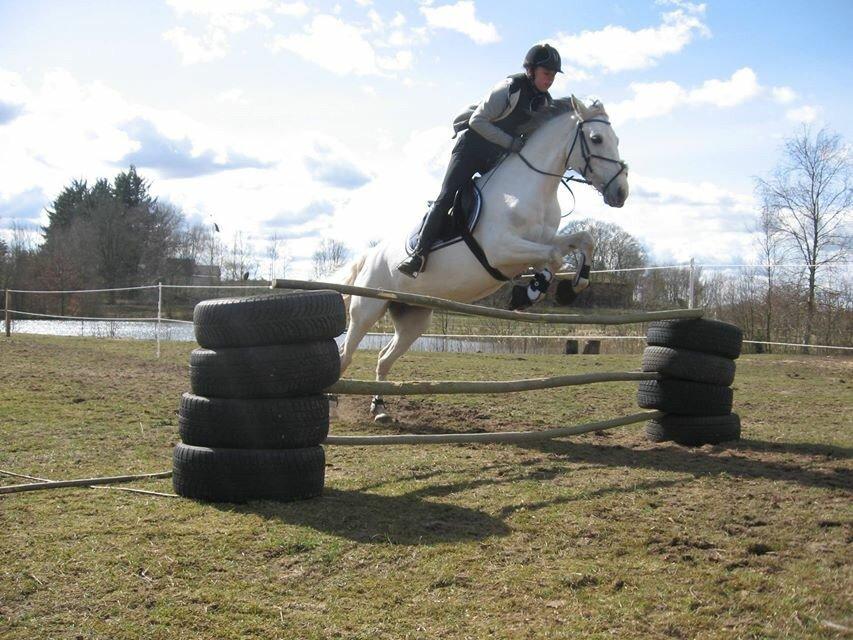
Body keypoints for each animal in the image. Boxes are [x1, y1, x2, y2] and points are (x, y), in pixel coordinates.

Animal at [336, 96, 628, 420]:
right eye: (596, 138)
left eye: (616, 140)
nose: (621, 193)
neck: (531, 187)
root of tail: (370, 255)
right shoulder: (501, 250)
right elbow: (552, 259)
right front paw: (530, 292)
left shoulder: (541, 241)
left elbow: (583, 241)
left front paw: (570, 287)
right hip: (367, 311)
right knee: (346, 355)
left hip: (413, 318)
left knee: (384, 358)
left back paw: (379, 408)